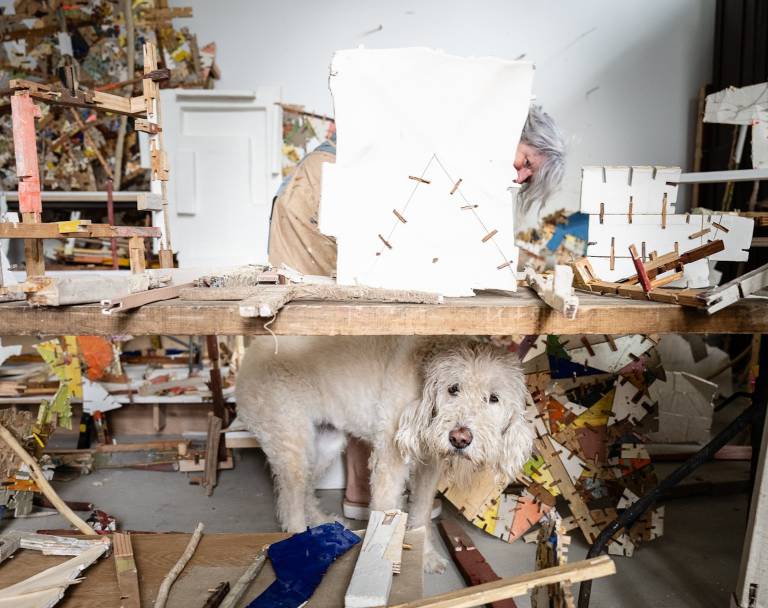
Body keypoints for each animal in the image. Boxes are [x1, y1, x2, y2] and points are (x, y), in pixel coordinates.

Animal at [235, 335, 533, 573]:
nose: (459, 438)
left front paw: (426, 558)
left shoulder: (429, 466)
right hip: (293, 447)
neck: (423, 377)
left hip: (324, 444)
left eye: (493, 398)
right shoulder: (389, 463)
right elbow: (385, 510)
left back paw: (321, 523)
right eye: (453, 389)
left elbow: (421, 515)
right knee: (290, 506)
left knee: (304, 492)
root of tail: (252, 349)